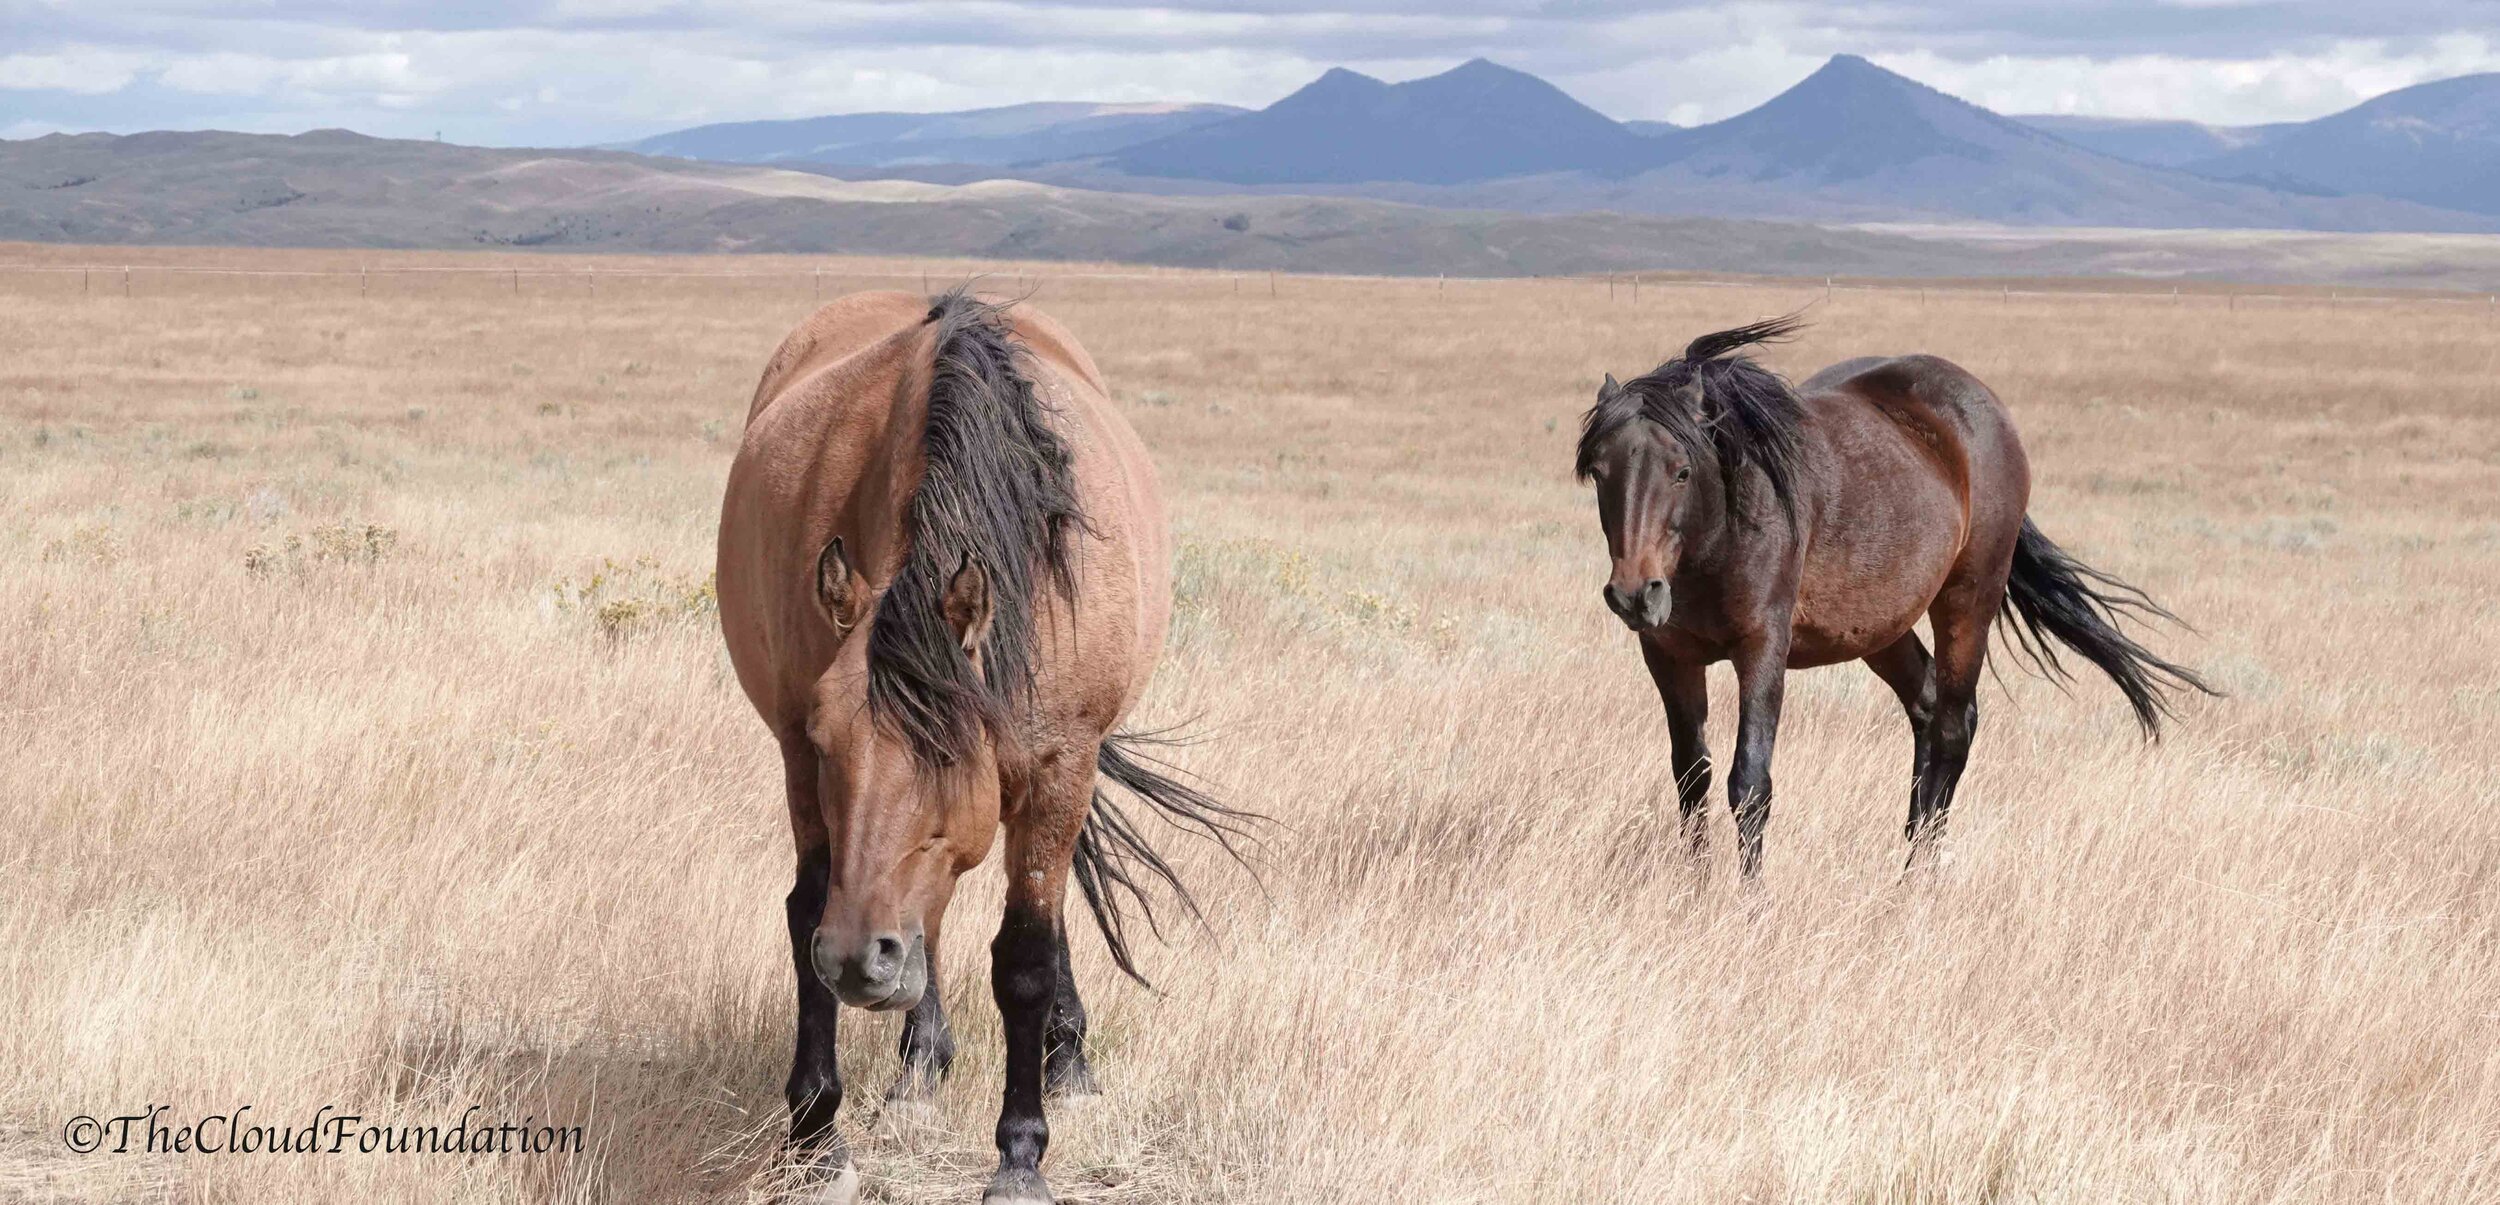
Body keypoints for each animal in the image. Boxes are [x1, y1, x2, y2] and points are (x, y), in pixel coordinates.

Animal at [718, 289, 1243, 1204]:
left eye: (957, 745)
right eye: (822, 736)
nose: (857, 961)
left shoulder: (1060, 763)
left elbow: (1027, 952)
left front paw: (1021, 1153)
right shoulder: (797, 756)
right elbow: (808, 909)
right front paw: (815, 1135)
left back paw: (1063, 1058)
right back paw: (920, 1063)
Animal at [1575, 315, 2215, 876]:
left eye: (1681, 471)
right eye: (1600, 472)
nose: (1635, 594)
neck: (1718, 534)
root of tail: (1984, 406)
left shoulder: (1762, 649)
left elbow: (1750, 783)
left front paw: (1750, 903)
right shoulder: (1668, 657)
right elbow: (1692, 777)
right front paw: (1697, 890)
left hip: (1968, 600)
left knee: (1955, 726)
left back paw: (1918, 877)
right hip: (1881, 630)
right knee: (1928, 706)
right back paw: (1911, 848)